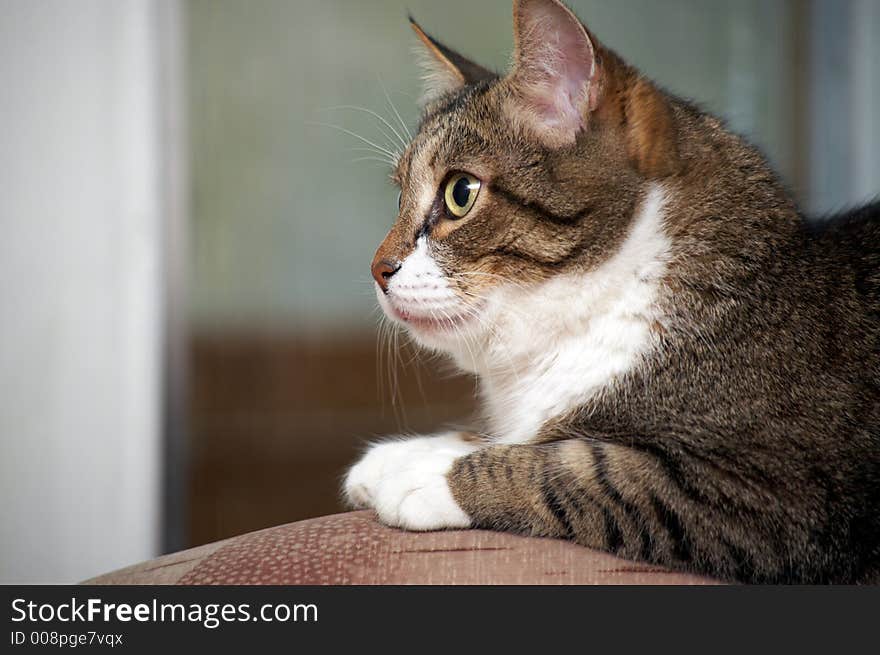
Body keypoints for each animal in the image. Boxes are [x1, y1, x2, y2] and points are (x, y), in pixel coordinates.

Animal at [340, 0, 876, 584]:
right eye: (400, 196)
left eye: (461, 193)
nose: (377, 268)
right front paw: (408, 453)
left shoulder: (768, 495)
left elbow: (580, 468)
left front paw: (428, 473)